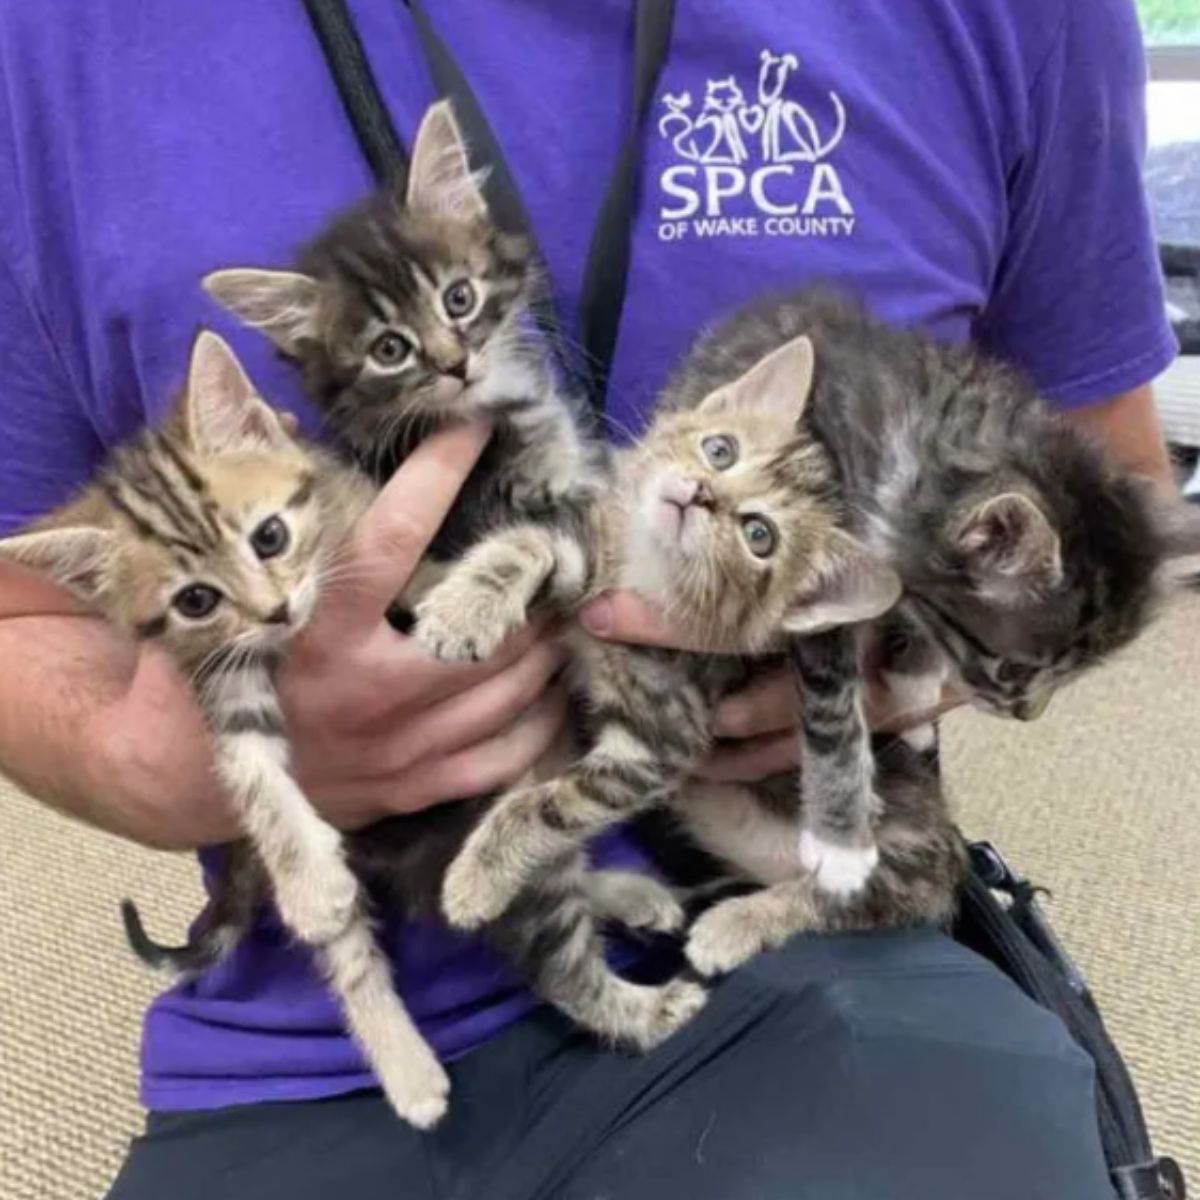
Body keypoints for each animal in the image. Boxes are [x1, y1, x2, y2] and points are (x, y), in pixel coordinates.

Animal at [0, 333, 451, 1128]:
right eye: (196, 600)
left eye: (270, 536)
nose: (275, 611)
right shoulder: (219, 674)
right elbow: (247, 770)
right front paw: (307, 878)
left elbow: (422, 576)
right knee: (349, 954)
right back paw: (407, 1069)